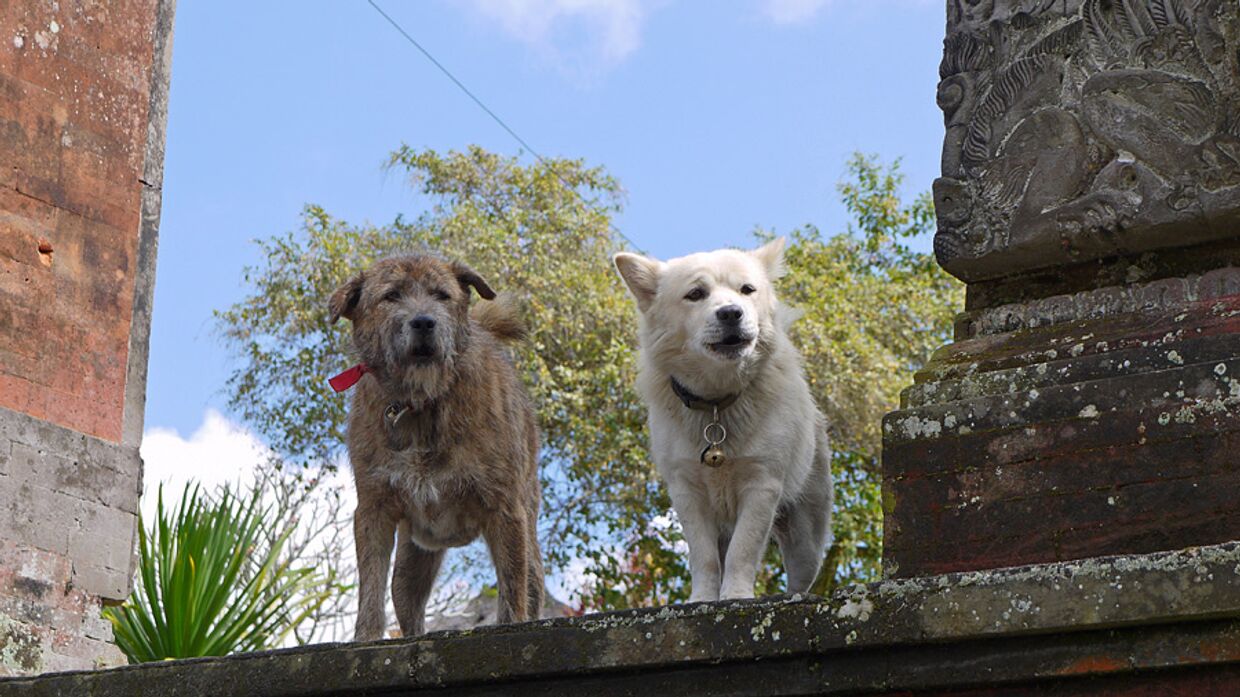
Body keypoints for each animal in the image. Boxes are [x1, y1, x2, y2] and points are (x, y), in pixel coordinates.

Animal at [329, 251, 543, 639]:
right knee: (405, 602)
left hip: (527, 532)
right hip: (413, 560)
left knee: (529, 584)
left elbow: (512, 593)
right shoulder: (373, 509)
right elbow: (371, 589)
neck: (421, 404)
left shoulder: (504, 509)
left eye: (442, 295)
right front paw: (365, 639)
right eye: (391, 296)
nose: (424, 322)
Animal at [612, 238, 833, 597]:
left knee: (800, 579)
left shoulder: (761, 485)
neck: (718, 401)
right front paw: (703, 598)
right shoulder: (687, 492)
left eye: (747, 290)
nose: (731, 312)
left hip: (805, 539)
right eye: (695, 294)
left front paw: (736, 596)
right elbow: (704, 558)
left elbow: (743, 551)